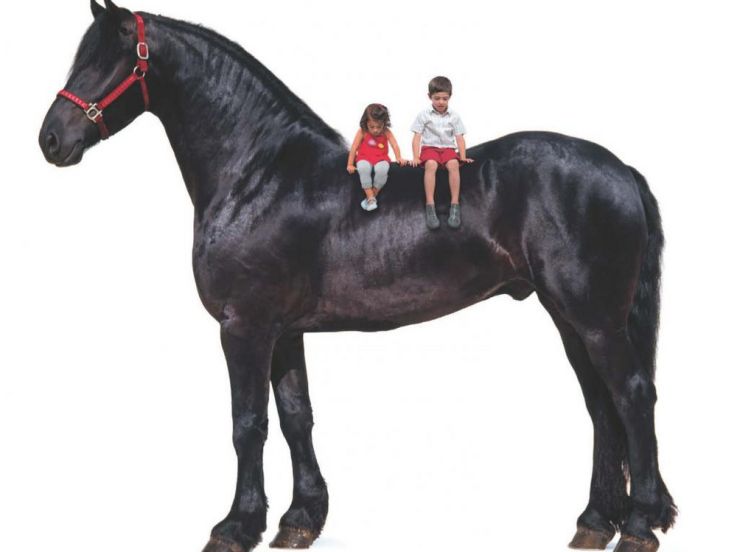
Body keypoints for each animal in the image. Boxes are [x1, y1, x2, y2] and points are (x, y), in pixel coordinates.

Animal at [38, 2, 677, 551]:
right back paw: (594, 523)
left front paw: (236, 526)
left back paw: (638, 526)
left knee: (631, 395)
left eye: (109, 59)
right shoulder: (284, 332)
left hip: (594, 318)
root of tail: (621, 169)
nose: (51, 139)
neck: (260, 175)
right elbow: (296, 417)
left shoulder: (244, 327)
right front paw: (300, 519)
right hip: (570, 318)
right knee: (601, 406)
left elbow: (248, 423)